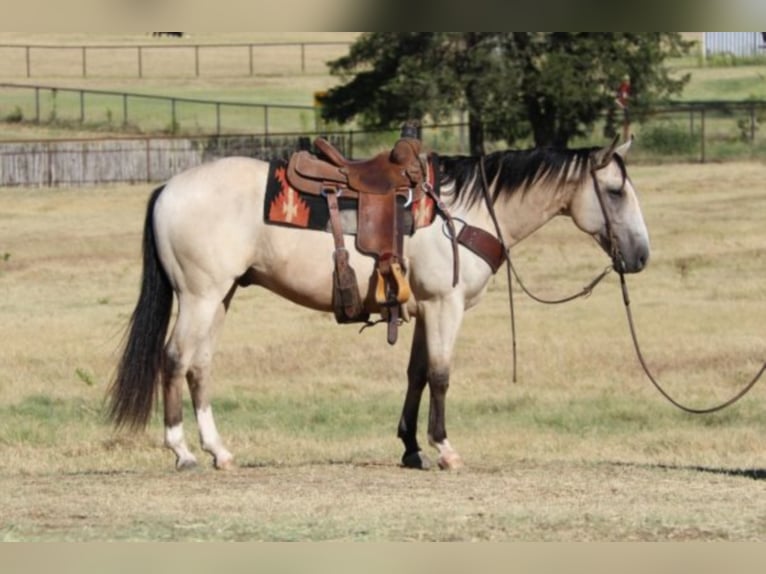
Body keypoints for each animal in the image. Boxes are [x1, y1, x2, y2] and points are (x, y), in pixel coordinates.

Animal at [108, 136, 652, 472]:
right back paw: (182, 452)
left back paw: (219, 451)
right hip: (199, 296)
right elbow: (441, 375)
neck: (466, 210)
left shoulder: (422, 308)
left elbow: (416, 375)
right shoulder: (445, 305)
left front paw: (411, 448)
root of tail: (168, 188)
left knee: (199, 366)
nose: (642, 255)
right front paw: (444, 449)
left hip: (220, 296)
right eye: (615, 191)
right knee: (174, 359)